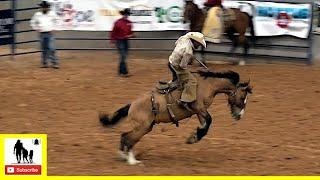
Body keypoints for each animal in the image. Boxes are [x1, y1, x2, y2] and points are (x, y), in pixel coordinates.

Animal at [99, 69, 251, 165]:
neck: (207, 85)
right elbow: (209, 120)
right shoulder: (199, 107)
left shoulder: (199, 111)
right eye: (242, 97)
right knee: (128, 138)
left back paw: (124, 156)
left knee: (124, 136)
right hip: (142, 127)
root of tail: (132, 105)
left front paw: (194, 137)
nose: (239, 116)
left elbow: (205, 124)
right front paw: (193, 138)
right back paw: (132, 161)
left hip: (145, 127)